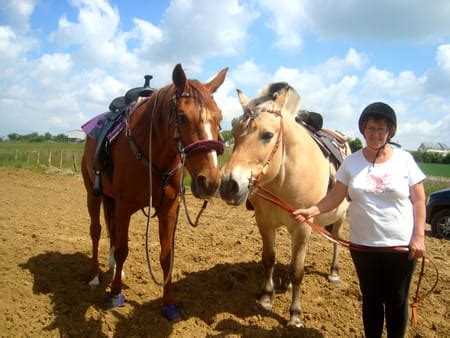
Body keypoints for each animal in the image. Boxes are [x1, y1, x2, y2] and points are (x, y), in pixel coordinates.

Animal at [81, 63, 227, 320]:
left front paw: (169, 304)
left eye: (219, 117)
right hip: (93, 192)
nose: (209, 181)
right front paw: (115, 294)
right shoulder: (124, 206)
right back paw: (95, 275)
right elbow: (123, 249)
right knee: (96, 231)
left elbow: (166, 257)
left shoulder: (168, 209)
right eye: (182, 117)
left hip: (110, 198)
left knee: (111, 229)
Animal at [220, 82, 350, 328]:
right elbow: (269, 259)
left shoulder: (303, 226)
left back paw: (334, 273)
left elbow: (297, 270)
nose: (229, 185)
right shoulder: (265, 223)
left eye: (268, 135)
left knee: (336, 240)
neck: (283, 178)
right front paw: (266, 298)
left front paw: (295, 315)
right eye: (234, 133)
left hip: (340, 217)